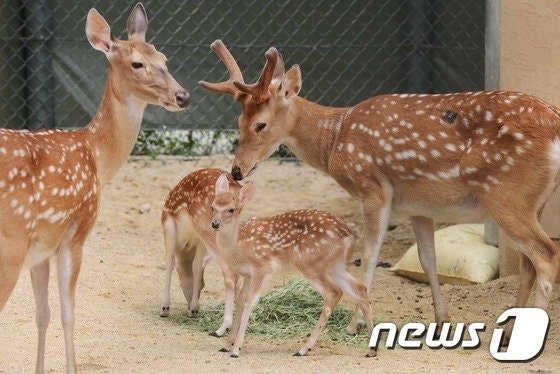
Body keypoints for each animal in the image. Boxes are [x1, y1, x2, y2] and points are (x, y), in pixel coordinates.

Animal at [0, 4, 189, 372]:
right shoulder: (76, 232)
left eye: (164, 58)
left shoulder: (42, 248)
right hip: (10, 245)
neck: (97, 156)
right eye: (137, 64)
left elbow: (42, 315)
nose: (183, 96)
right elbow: (68, 314)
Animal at [160, 168, 243, 338]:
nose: (194, 306)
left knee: (230, 272)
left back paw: (222, 328)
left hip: (208, 227)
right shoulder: (199, 242)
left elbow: (169, 264)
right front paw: (193, 307)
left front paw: (165, 308)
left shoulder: (168, 224)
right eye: (203, 285)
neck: (185, 247)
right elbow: (197, 266)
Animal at [200, 40, 560, 338]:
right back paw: (510, 328)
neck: (336, 140)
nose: (237, 170)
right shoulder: (419, 206)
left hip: (507, 196)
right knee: (529, 264)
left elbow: (370, 255)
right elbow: (428, 259)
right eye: (238, 122)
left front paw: (355, 324)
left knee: (546, 255)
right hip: (532, 201)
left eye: (260, 124)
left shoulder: (372, 187)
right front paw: (441, 320)